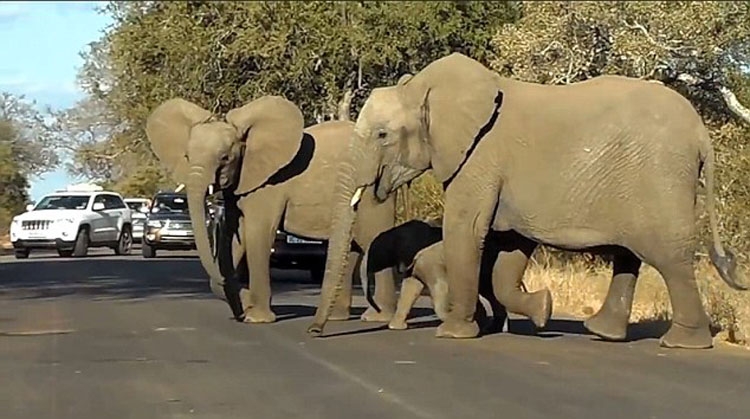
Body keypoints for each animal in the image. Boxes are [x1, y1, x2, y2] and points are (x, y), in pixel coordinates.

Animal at [142, 97, 400, 324]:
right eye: (186, 156)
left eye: (225, 158)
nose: (241, 309)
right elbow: (235, 238)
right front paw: (245, 304)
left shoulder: (269, 186)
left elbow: (257, 235)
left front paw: (256, 317)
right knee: (354, 246)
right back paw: (338, 317)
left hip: (371, 192)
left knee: (372, 237)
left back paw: (377, 317)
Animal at [362, 218, 516, 334]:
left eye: (376, 251)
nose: (378, 309)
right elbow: (410, 288)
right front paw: (396, 327)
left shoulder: (428, 261)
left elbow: (440, 288)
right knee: (490, 293)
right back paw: (493, 328)